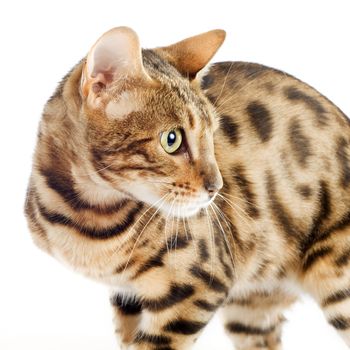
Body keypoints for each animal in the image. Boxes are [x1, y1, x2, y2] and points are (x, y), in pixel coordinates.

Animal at [26, 28, 350, 350]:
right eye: (172, 140)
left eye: (212, 135)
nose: (216, 187)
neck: (85, 218)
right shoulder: (127, 295)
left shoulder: (200, 286)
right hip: (250, 309)